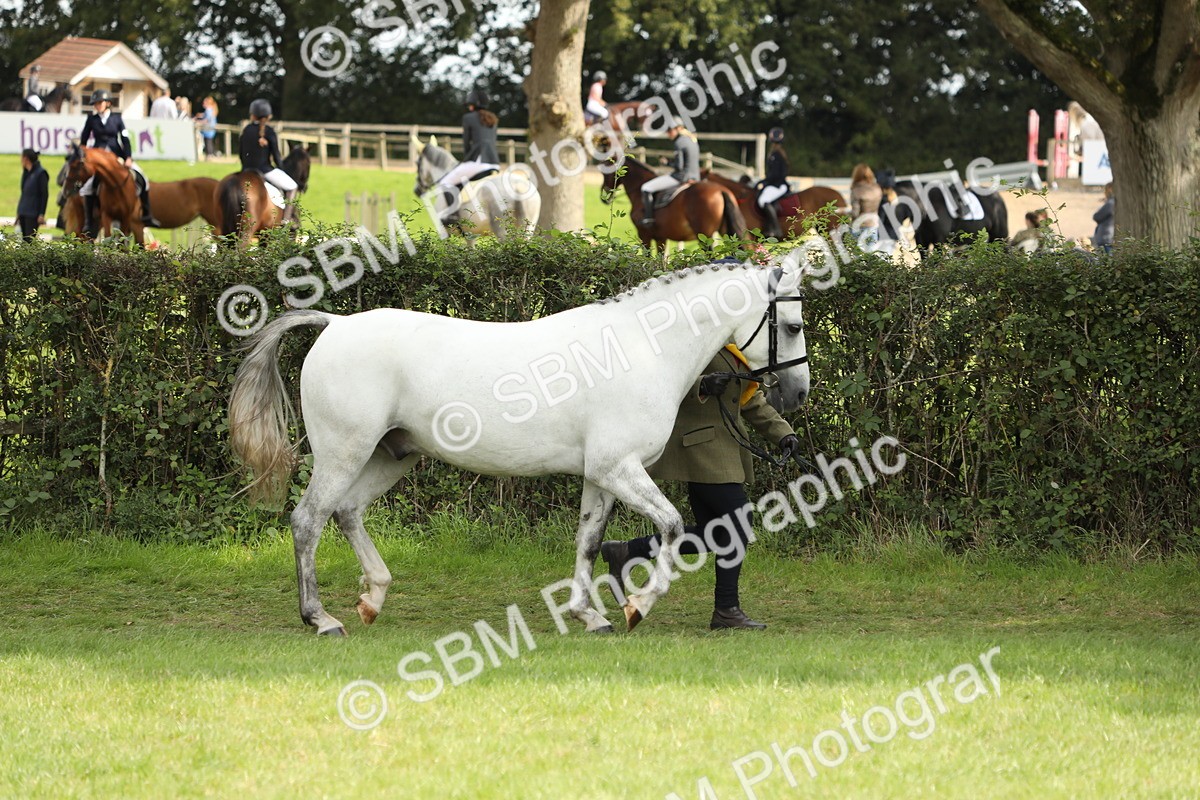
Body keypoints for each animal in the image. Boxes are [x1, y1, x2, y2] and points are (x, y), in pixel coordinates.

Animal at [227, 260, 811, 636]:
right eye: (792, 325)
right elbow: (668, 526)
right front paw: (636, 607)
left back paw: (372, 598)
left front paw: (589, 615)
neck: (640, 347)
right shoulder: (617, 468)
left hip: (391, 455)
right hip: (344, 453)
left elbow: (589, 542)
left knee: (347, 511)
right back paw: (321, 619)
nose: (798, 394)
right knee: (308, 521)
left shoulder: (600, 474)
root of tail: (336, 325)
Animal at [412, 134, 541, 238]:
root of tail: (519, 188)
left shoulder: (444, 234)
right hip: (527, 229)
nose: (416, 191)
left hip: (502, 230)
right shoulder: (470, 236)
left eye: (417, 163)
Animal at [600, 157, 747, 256]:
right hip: (727, 234)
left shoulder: (644, 235)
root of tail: (720, 190)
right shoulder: (661, 238)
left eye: (604, 172)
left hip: (705, 236)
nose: (603, 197)